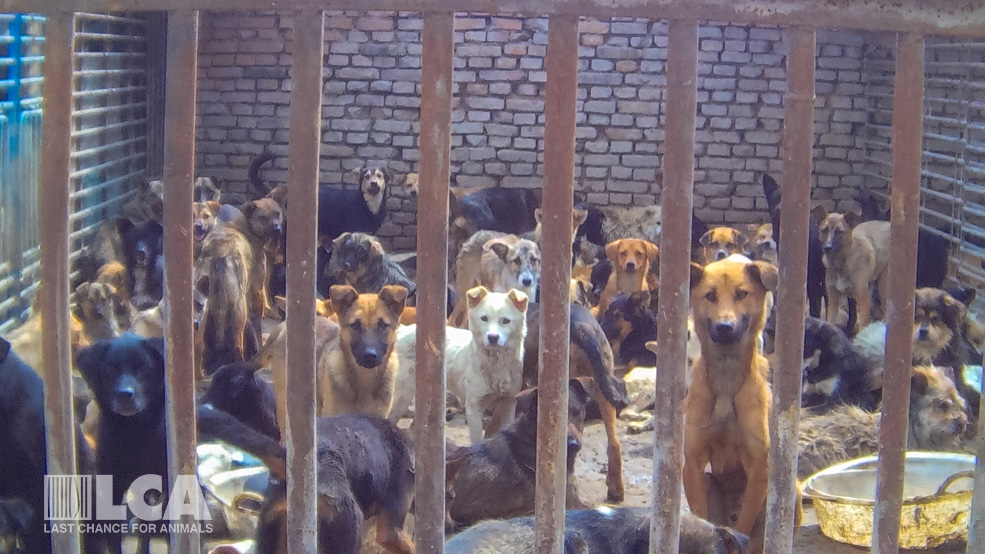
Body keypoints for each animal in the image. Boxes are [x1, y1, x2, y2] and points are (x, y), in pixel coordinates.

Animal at [390, 286, 532, 442]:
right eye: (484, 318)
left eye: (506, 321)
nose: (493, 337)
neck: (495, 365)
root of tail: (401, 330)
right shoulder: (473, 407)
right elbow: (477, 440)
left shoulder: (509, 402)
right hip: (402, 396)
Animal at [684, 254, 776, 548]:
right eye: (710, 296)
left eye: (741, 294)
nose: (725, 327)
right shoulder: (693, 463)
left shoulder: (759, 466)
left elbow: (743, 529)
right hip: (708, 481)